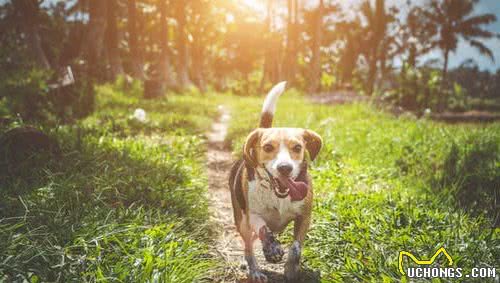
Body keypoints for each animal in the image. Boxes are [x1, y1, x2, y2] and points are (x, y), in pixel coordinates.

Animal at [229, 81, 322, 282]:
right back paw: (255, 270)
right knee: (249, 247)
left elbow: (296, 248)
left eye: (297, 147)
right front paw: (272, 249)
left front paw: (291, 269)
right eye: (268, 147)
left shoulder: (305, 216)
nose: (285, 168)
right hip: (241, 222)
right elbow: (263, 228)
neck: (277, 195)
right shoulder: (252, 215)